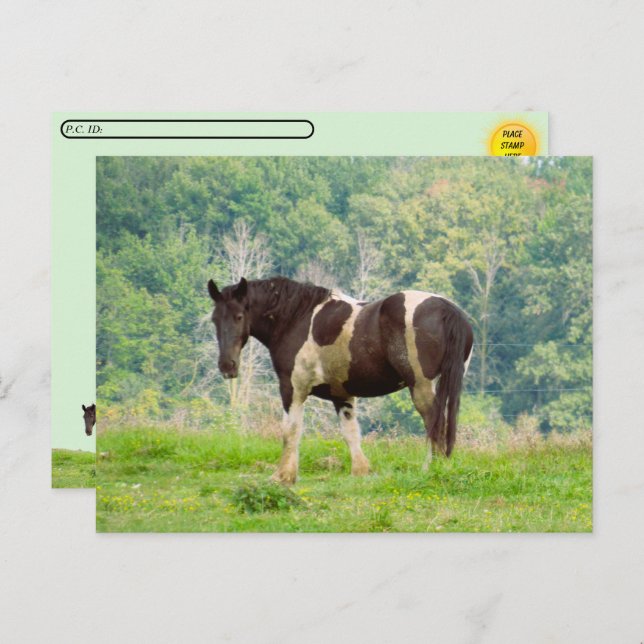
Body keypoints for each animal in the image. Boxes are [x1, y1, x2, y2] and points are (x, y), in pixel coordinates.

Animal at [207, 276, 473, 485]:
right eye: (215, 319)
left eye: (239, 316)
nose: (227, 366)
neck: (296, 318)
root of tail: (447, 309)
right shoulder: (342, 395)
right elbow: (350, 433)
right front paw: (361, 471)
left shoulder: (293, 390)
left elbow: (291, 431)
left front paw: (283, 476)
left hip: (421, 386)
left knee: (433, 422)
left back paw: (431, 468)